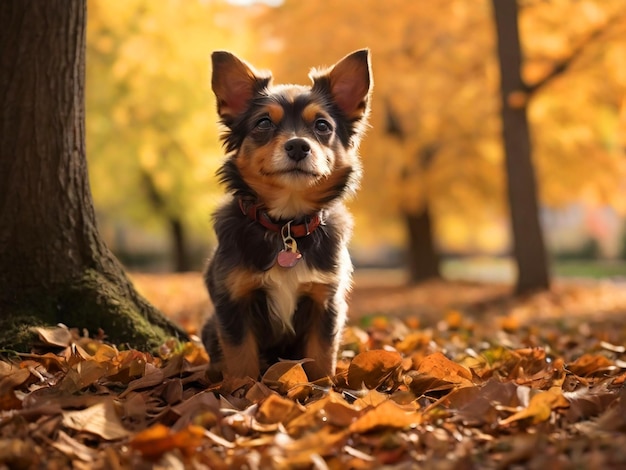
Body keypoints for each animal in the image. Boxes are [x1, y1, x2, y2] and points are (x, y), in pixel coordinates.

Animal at [202, 49, 370, 382]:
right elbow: (241, 360)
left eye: (322, 126)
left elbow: (321, 358)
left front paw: (323, 390)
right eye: (264, 122)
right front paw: (239, 391)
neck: (286, 225)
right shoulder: (233, 302)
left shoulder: (325, 302)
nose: (298, 146)